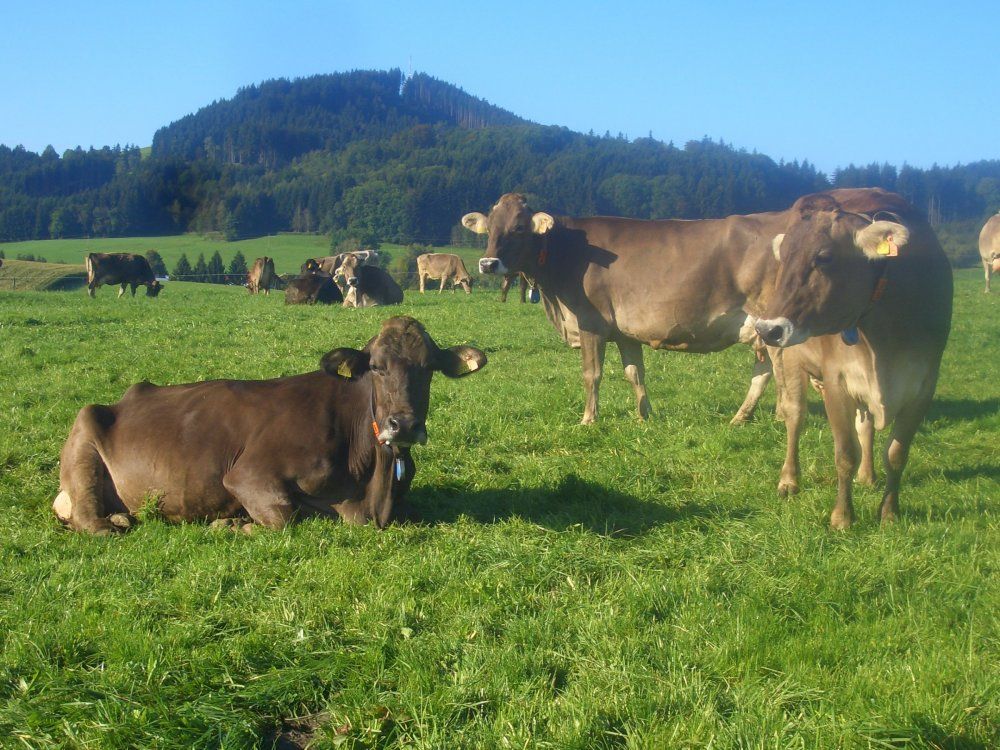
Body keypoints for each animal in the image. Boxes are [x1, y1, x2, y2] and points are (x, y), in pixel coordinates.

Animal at [52, 316, 487, 534]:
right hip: (84, 434)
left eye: (429, 368)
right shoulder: (248, 476)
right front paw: (231, 524)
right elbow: (285, 517)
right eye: (377, 367)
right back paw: (114, 522)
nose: (405, 425)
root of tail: (126, 397)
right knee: (88, 519)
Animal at [755, 189, 952, 529]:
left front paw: (889, 512)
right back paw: (789, 480)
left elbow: (897, 453)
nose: (768, 329)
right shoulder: (837, 381)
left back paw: (868, 476)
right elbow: (845, 453)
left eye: (824, 257)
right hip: (790, 358)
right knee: (795, 416)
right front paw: (842, 517)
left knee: (866, 425)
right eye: (786, 258)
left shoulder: (924, 385)